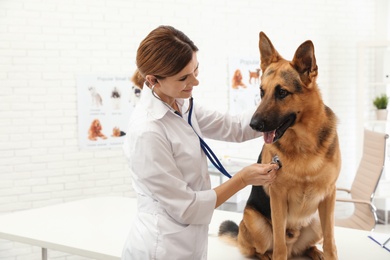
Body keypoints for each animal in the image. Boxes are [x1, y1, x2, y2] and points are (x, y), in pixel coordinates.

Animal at [219, 33, 342, 260]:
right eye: (261, 92)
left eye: (282, 92)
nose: (253, 125)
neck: (304, 144)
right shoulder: (277, 196)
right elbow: (279, 246)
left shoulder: (329, 195)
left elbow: (331, 243)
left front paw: (328, 254)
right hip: (254, 223)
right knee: (260, 249)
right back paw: (267, 255)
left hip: (317, 221)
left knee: (307, 246)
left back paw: (315, 252)